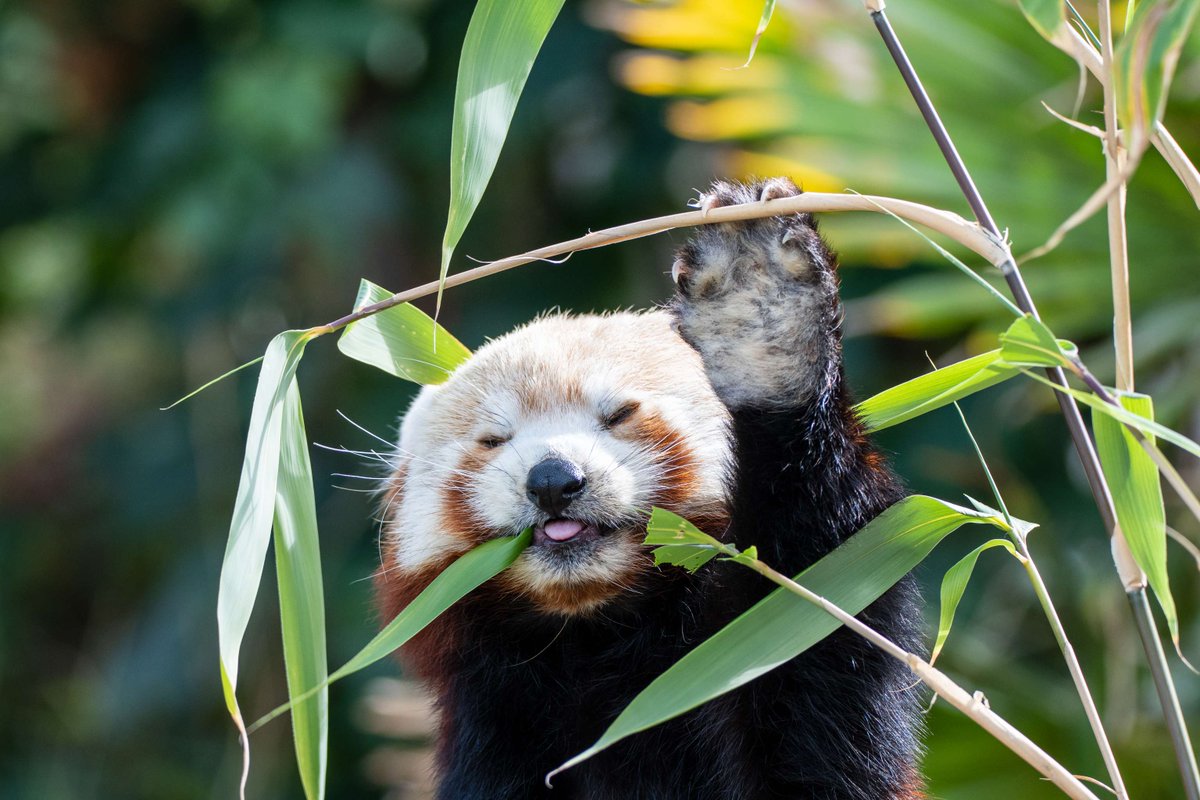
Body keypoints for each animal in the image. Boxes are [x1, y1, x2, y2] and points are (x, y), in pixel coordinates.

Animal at [376, 178, 926, 796]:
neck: (598, 640)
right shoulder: (497, 730)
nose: (552, 481)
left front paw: (768, 325)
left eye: (620, 414)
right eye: (494, 439)